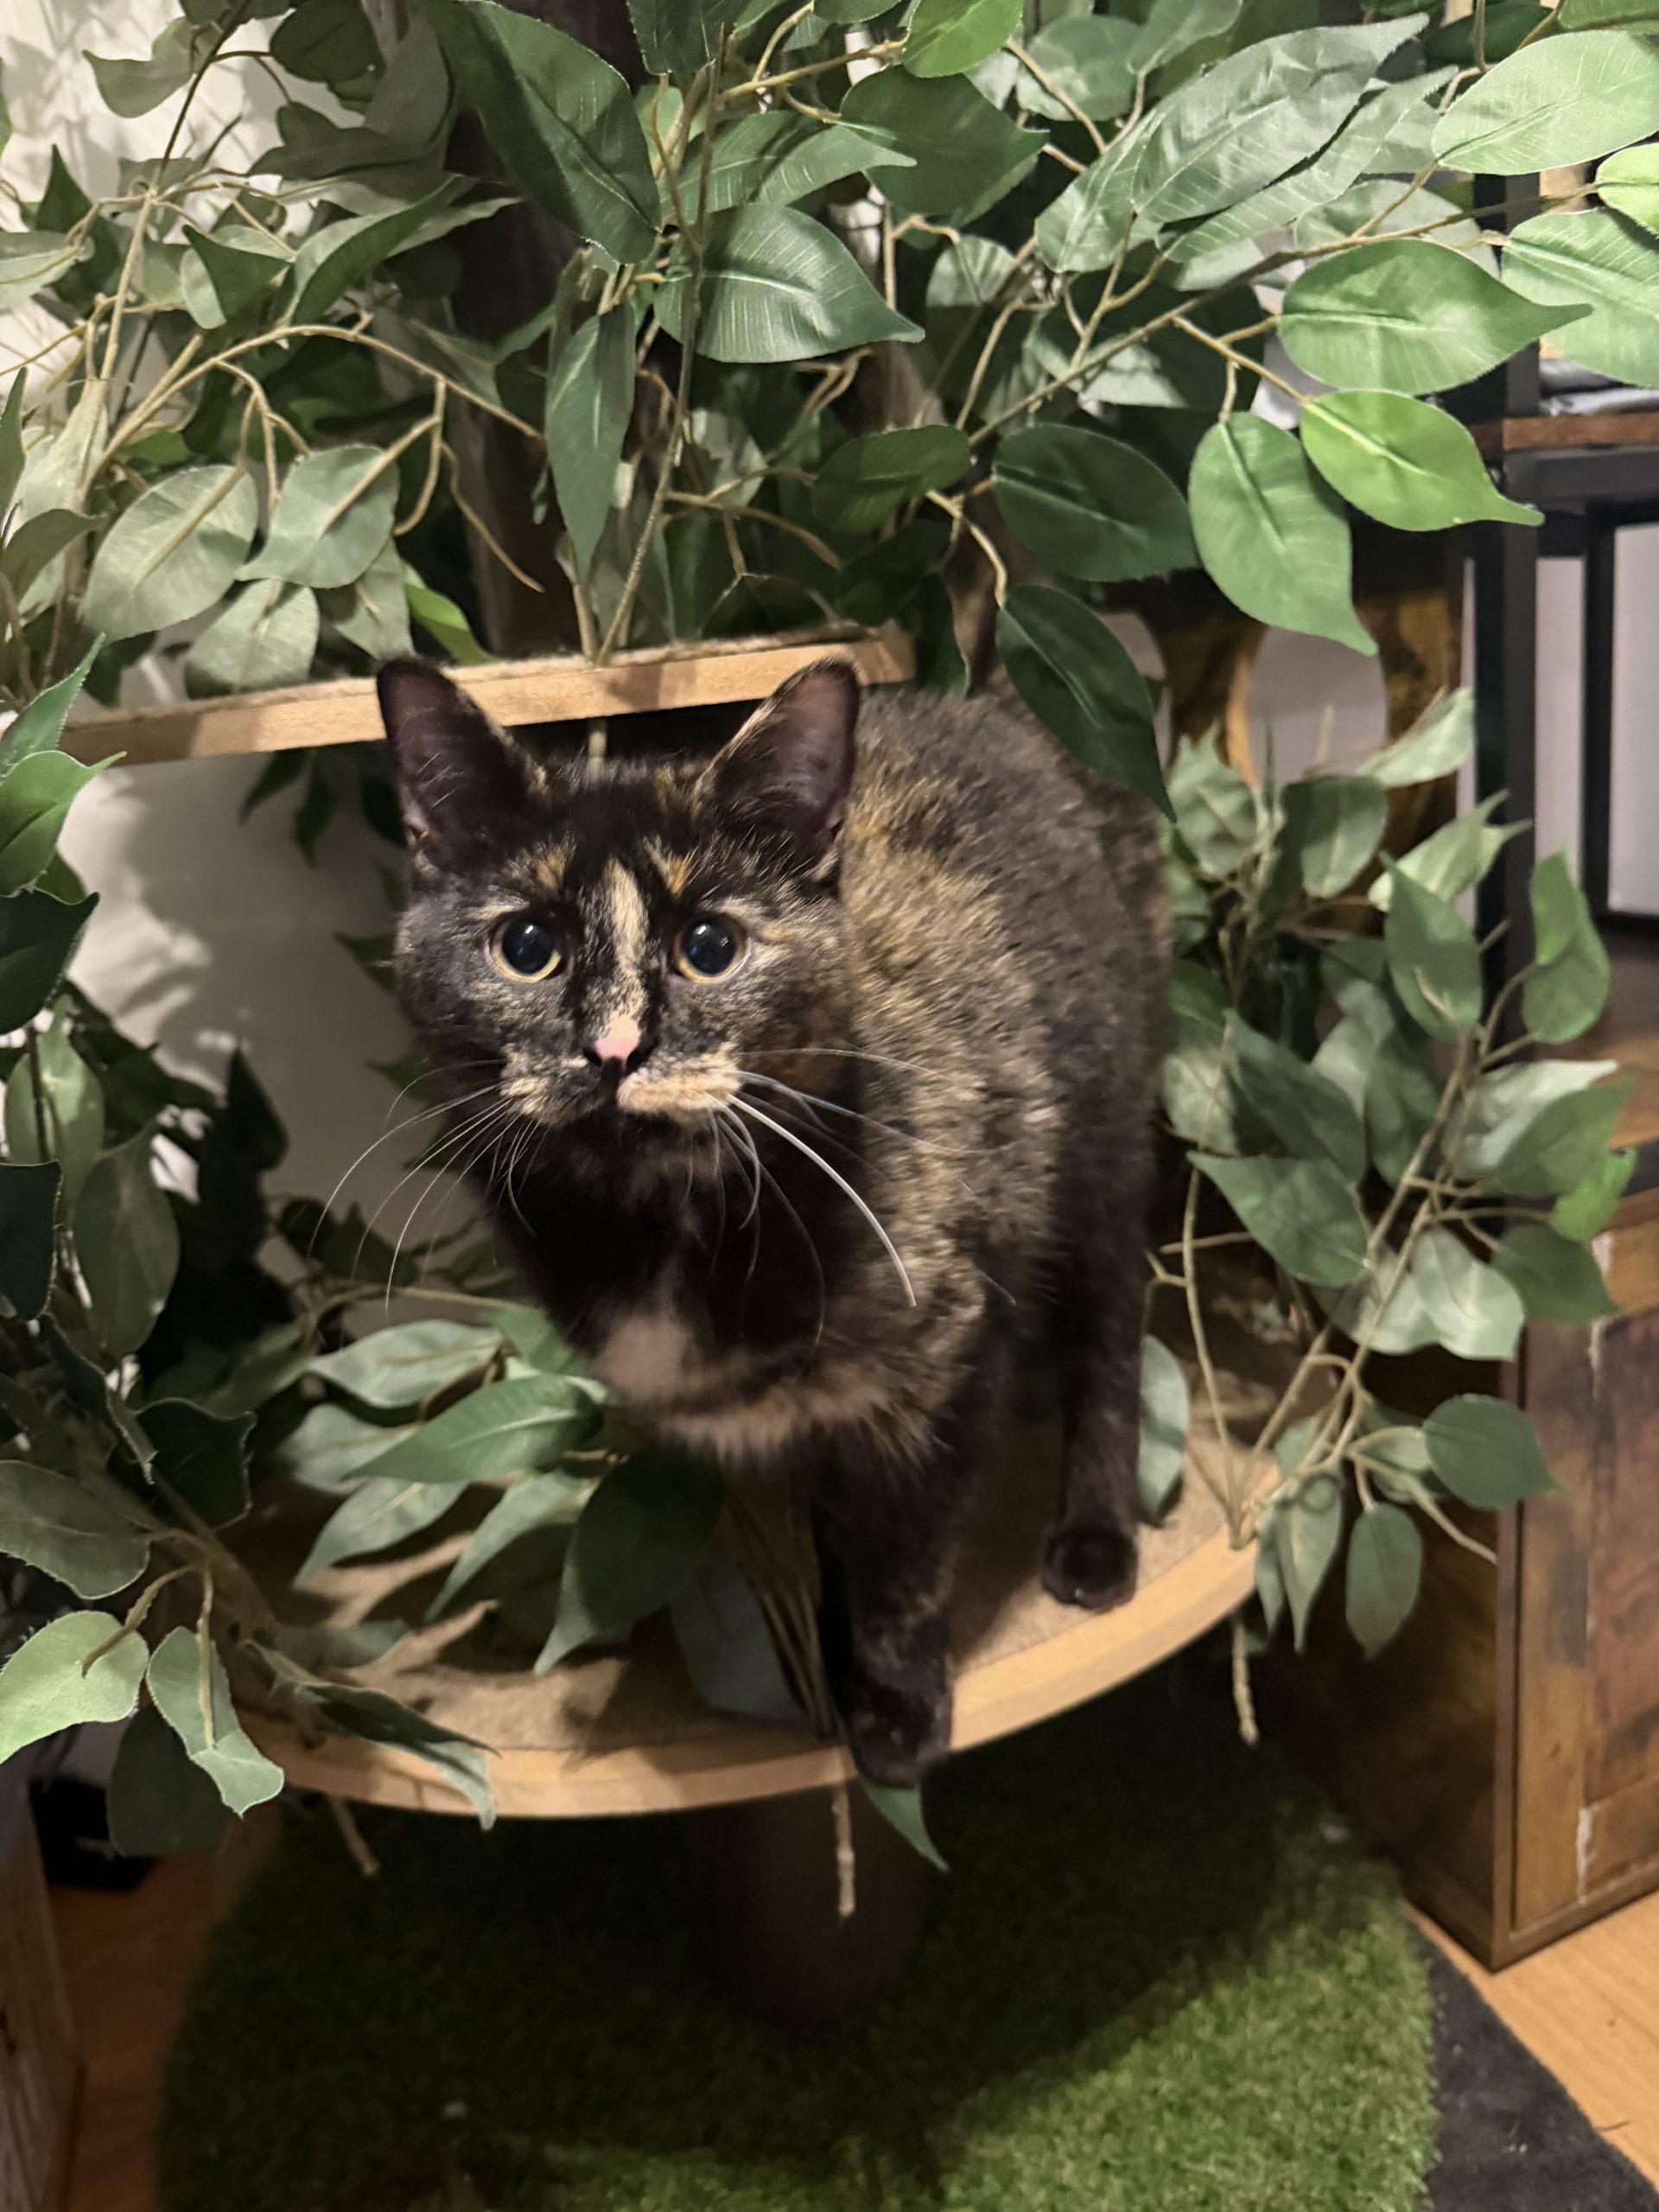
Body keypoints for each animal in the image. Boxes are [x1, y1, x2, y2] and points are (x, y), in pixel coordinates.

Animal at [377, 655, 1169, 1785]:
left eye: (710, 945)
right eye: (526, 945)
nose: (614, 1048)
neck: (658, 1221)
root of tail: (998, 698)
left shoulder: (945, 1360)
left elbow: (906, 1554)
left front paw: (892, 1707)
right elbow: (828, 1537)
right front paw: (826, 1663)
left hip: (1105, 1133)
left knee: (1109, 1326)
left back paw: (1098, 1539)